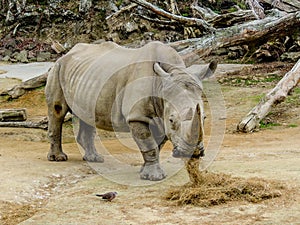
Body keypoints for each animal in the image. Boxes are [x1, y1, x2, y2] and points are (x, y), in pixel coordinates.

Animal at [45, 40, 216, 181]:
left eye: (204, 118)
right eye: (172, 120)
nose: (194, 152)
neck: (161, 85)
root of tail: (66, 54)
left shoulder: (160, 114)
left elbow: (157, 145)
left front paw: (144, 171)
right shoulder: (137, 116)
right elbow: (148, 144)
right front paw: (154, 177)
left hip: (86, 77)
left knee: (87, 115)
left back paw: (94, 158)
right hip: (57, 69)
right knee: (57, 110)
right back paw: (58, 158)